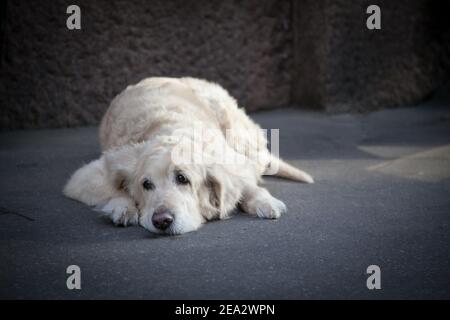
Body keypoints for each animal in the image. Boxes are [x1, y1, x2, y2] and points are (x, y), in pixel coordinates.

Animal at [63, 76, 312, 234]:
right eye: (146, 184)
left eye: (183, 179)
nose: (162, 221)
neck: (173, 131)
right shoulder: (90, 173)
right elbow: (113, 189)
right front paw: (122, 208)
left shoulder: (231, 162)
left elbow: (246, 185)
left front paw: (264, 202)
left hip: (237, 131)